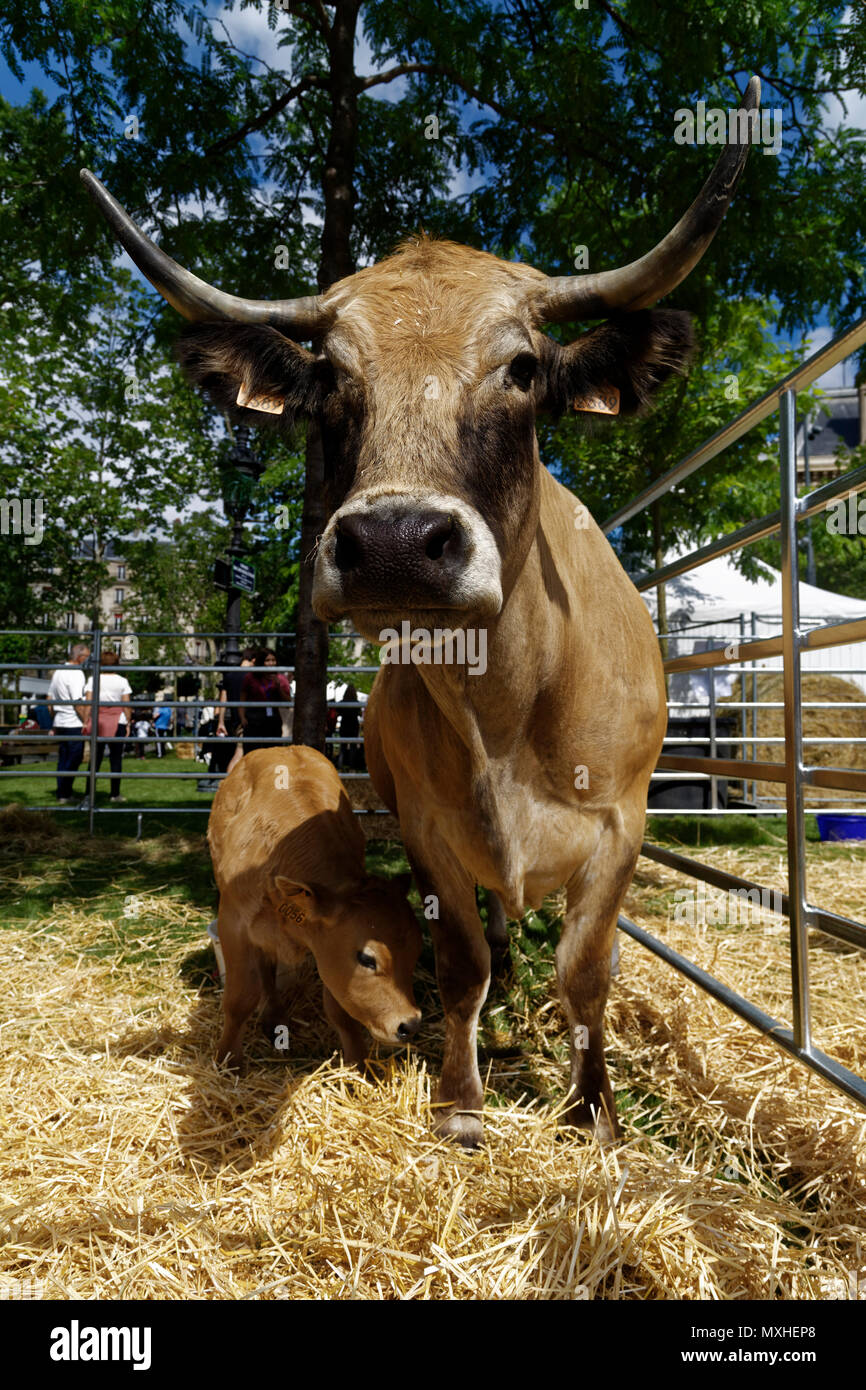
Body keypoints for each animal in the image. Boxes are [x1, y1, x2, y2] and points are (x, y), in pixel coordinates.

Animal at [211, 750, 425, 1061]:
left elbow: (340, 1010)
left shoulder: (325, 947)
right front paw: (228, 1060)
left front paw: (359, 1064)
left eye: (416, 951)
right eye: (367, 959)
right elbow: (239, 1001)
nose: (409, 1025)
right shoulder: (234, 924)